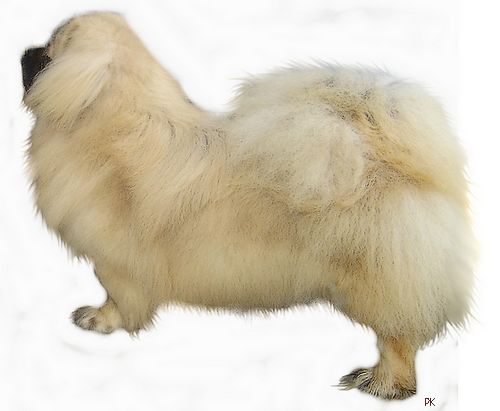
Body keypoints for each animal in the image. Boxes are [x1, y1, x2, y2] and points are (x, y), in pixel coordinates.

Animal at [21, 12, 475, 400]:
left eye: (49, 48)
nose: (25, 50)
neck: (106, 122)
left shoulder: (116, 264)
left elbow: (117, 297)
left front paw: (100, 320)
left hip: (374, 285)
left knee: (398, 340)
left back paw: (381, 383)